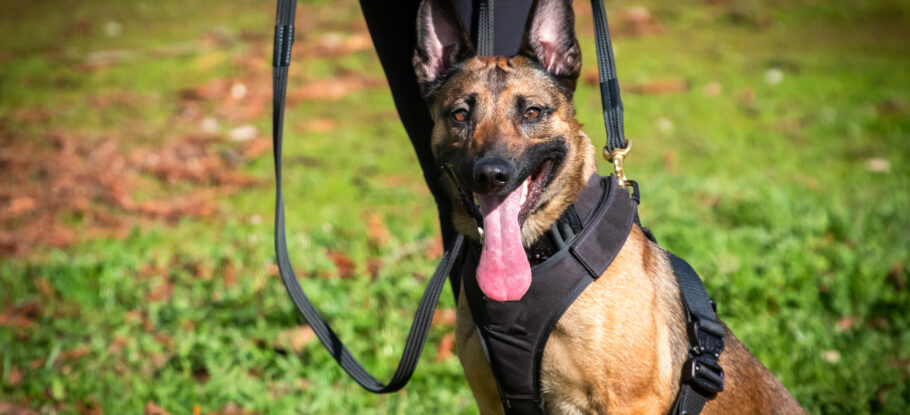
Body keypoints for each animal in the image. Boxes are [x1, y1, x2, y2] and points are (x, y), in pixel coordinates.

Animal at [414, 0, 804, 414]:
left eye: (532, 112)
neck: (545, 248)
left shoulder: (629, 402)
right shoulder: (491, 401)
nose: (490, 176)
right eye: (460, 115)